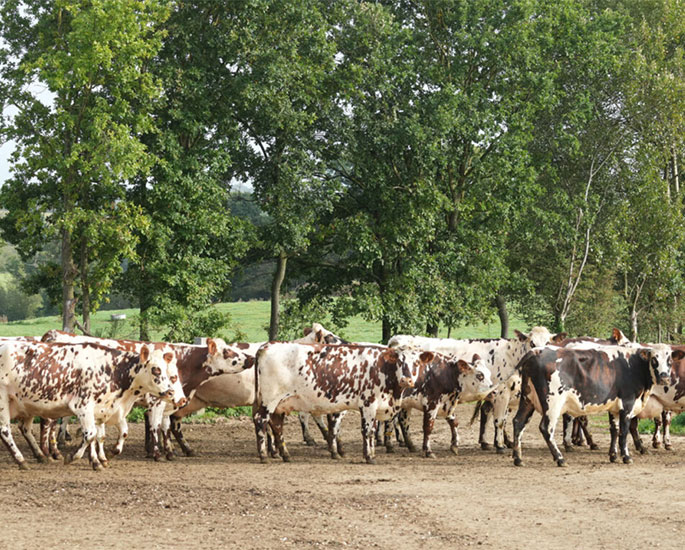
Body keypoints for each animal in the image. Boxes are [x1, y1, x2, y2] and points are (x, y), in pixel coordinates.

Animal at [0, 340, 182, 470]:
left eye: (170, 373)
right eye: (156, 369)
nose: (171, 392)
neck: (111, 370)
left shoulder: (101, 410)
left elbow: (101, 436)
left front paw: (100, 459)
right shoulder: (84, 406)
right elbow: (90, 435)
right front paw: (74, 458)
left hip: (24, 406)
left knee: (24, 429)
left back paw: (40, 456)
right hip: (3, 401)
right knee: (5, 430)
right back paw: (21, 460)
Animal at [254, 344, 420, 466]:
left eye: (416, 364)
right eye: (400, 362)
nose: (407, 380)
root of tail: (267, 346)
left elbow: (372, 431)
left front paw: (371, 453)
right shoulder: (368, 404)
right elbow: (367, 431)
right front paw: (369, 457)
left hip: (279, 405)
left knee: (277, 426)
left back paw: (285, 455)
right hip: (269, 401)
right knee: (260, 421)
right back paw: (263, 456)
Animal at [388, 330, 560, 454]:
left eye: (548, 342)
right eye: (532, 342)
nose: (540, 354)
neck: (511, 356)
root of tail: (398, 340)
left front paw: (496, 442)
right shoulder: (501, 394)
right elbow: (499, 421)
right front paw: (500, 446)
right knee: (399, 419)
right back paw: (396, 444)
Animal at [510, 344, 672, 470]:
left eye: (669, 360)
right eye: (654, 359)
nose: (664, 377)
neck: (634, 365)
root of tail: (537, 350)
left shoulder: (614, 407)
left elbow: (614, 430)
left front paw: (613, 456)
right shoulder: (627, 404)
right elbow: (623, 432)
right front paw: (626, 457)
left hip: (527, 399)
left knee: (518, 422)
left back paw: (518, 458)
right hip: (552, 403)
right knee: (546, 428)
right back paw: (560, 458)